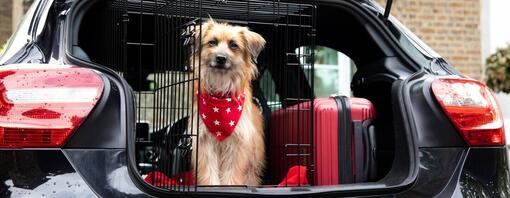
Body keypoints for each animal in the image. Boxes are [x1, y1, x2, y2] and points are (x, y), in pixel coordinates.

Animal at [188, 19, 266, 186]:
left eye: (233, 45)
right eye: (212, 42)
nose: (221, 58)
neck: (220, 95)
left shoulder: (238, 141)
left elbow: (232, 170)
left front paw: (230, 185)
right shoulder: (204, 140)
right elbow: (209, 169)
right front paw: (211, 186)